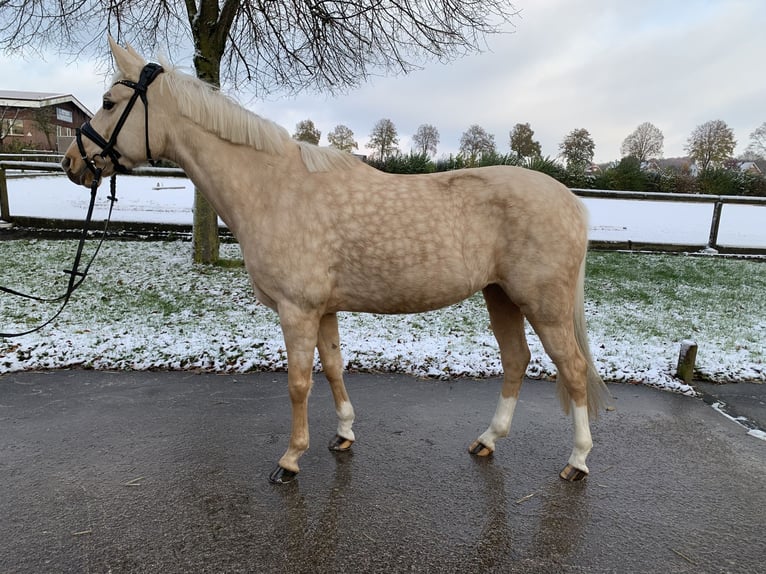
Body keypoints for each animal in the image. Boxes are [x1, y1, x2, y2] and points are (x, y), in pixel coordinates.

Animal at [63, 37, 612, 486]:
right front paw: (343, 434)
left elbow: (298, 383)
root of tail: (571, 200)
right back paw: (488, 440)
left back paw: (578, 461)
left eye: (110, 103)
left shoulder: (297, 309)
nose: (72, 163)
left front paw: (290, 460)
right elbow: (332, 368)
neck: (275, 189)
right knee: (517, 361)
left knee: (573, 369)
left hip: (543, 304)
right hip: (501, 296)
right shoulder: (323, 309)